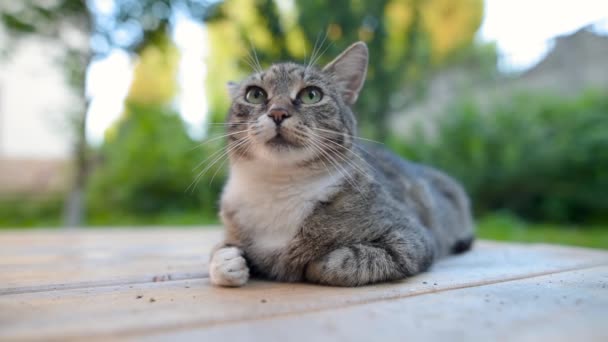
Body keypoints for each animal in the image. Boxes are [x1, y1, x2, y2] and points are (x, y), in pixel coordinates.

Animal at [209, 41, 476, 288]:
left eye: (311, 94)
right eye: (255, 95)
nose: (277, 113)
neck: (279, 186)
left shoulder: (411, 238)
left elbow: (339, 261)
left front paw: (311, 263)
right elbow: (219, 253)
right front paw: (227, 261)